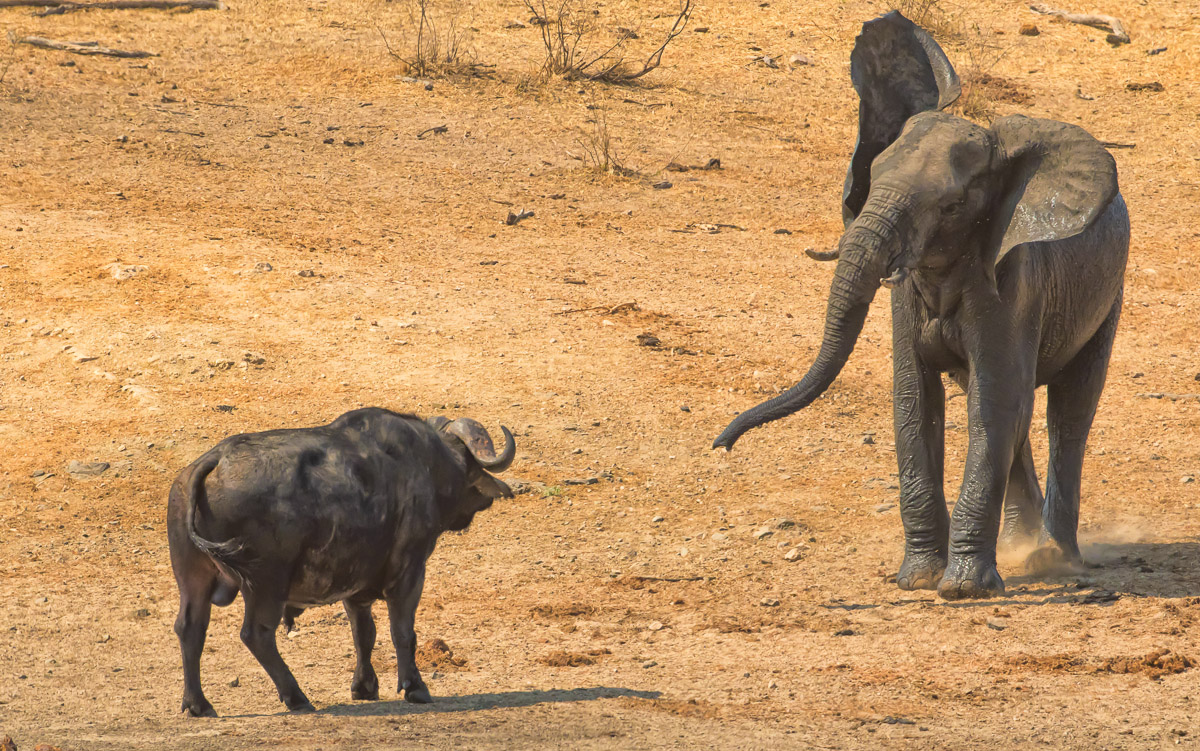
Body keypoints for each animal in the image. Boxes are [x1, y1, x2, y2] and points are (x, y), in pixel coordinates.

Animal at [167, 408, 516, 716]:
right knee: (256, 634)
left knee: (190, 629)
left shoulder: (354, 585)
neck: (426, 463)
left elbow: (364, 633)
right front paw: (414, 687)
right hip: (266, 583)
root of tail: (214, 460)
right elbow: (402, 631)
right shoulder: (410, 571)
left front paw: (364, 686)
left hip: (193, 579)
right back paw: (296, 697)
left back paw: (198, 704)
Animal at [712, 11, 1129, 600]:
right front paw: (917, 580)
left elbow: (990, 405)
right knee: (1019, 410)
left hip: (1108, 293)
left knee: (1067, 412)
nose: (721, 447)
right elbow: (916, 401)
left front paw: (962, 590)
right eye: (873, 178)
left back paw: (1056, 560)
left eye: (952, 206)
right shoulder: (908, 298)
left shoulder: (1014, 282)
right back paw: (1024, 553)